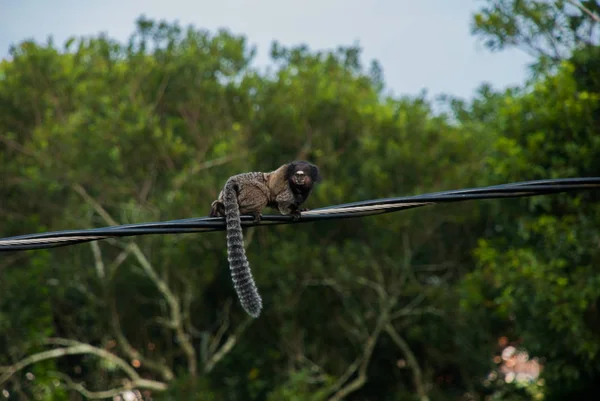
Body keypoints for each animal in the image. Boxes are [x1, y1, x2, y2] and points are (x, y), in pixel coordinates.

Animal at [211, 161, 324, 318]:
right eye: (297, 175)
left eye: (303, 175)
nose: (299, 179)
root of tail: (233, 180)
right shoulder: (287, 192)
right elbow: (282, 203)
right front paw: (293, 211)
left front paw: (302, 209)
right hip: (250, 189)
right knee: (263, 194)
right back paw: (249, 212)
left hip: (225, 194)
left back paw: (219, 209)